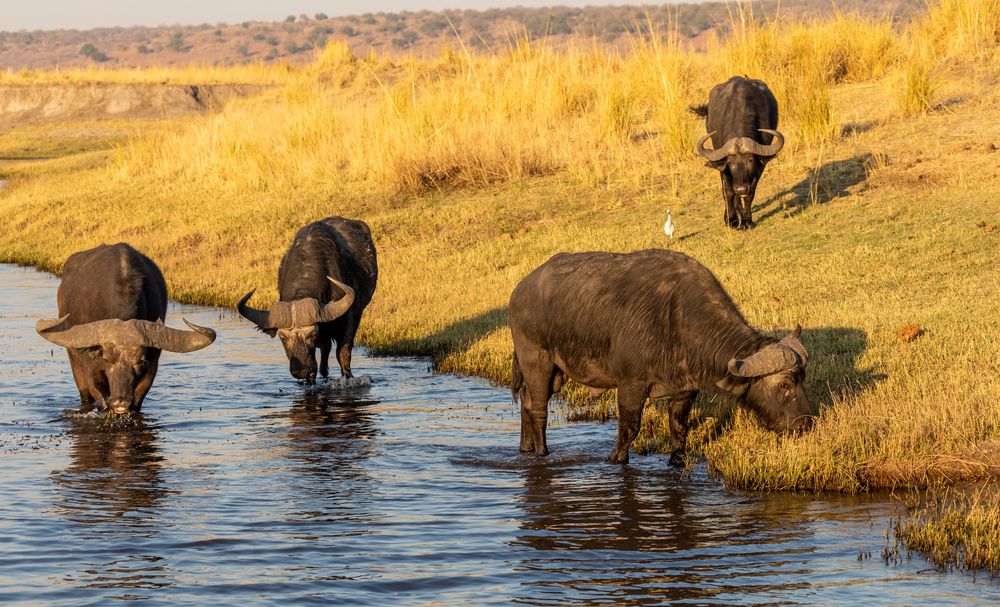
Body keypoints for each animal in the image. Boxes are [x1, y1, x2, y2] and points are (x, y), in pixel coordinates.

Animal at [36, 245, 215, 416]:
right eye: (107, 359)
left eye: (139, 361)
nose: (120, 403)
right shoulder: (90, 366)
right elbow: (99, 397)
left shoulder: (151, 367)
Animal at [692, 75, 784, 229]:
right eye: (730, 162)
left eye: (750, 160)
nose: (741, 188)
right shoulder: (724, 166)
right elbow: (729, 192)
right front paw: (732, 220)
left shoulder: (759, 167)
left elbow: (750, 194)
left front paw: (747, 221)